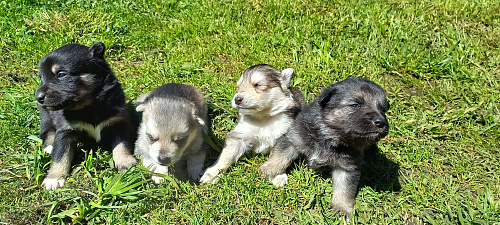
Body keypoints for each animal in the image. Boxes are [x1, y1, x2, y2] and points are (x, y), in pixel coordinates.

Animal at [35, 42, 138, 190]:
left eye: (61, 74)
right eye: (41, 78)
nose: (38, 97)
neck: (89, 106)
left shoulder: (118, 123)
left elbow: (122, 145)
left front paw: (126, 163)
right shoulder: (66, 130)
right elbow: (60, 155)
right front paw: (53, 179)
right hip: (45, 114)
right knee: (46, 130)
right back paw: (49, 147)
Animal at [260, 77, 392, 220]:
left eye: (383, 110)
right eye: (355, 105)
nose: (381, 122)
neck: (330, 137)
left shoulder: (347, 167)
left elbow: (344, 190)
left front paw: (342, 209)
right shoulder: (293, 137)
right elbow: (281, 155)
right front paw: (269, 169)